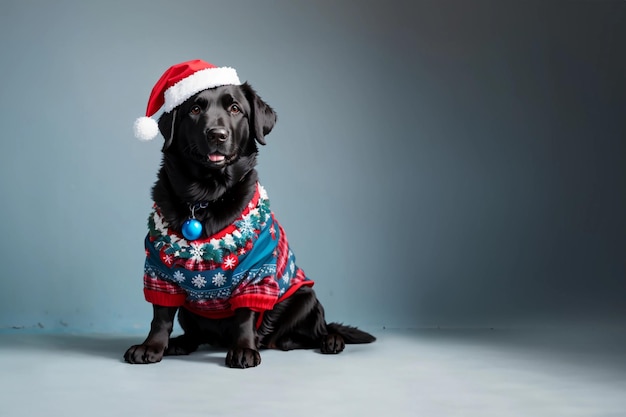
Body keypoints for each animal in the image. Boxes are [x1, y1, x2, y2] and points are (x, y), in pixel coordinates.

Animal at [124, 81, 372, 368]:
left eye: (235, 108)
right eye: (195, 109)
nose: (217, 135)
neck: (206, 197)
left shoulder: (256, 271)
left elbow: (245, 314)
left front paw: (243, 349)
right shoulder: (158, 270)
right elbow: (161, 316)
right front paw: (151, 347)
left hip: (305, 297)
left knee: (318, 329)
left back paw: (326, 340)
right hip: (190, 311)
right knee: (196, 333)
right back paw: (181, 343)